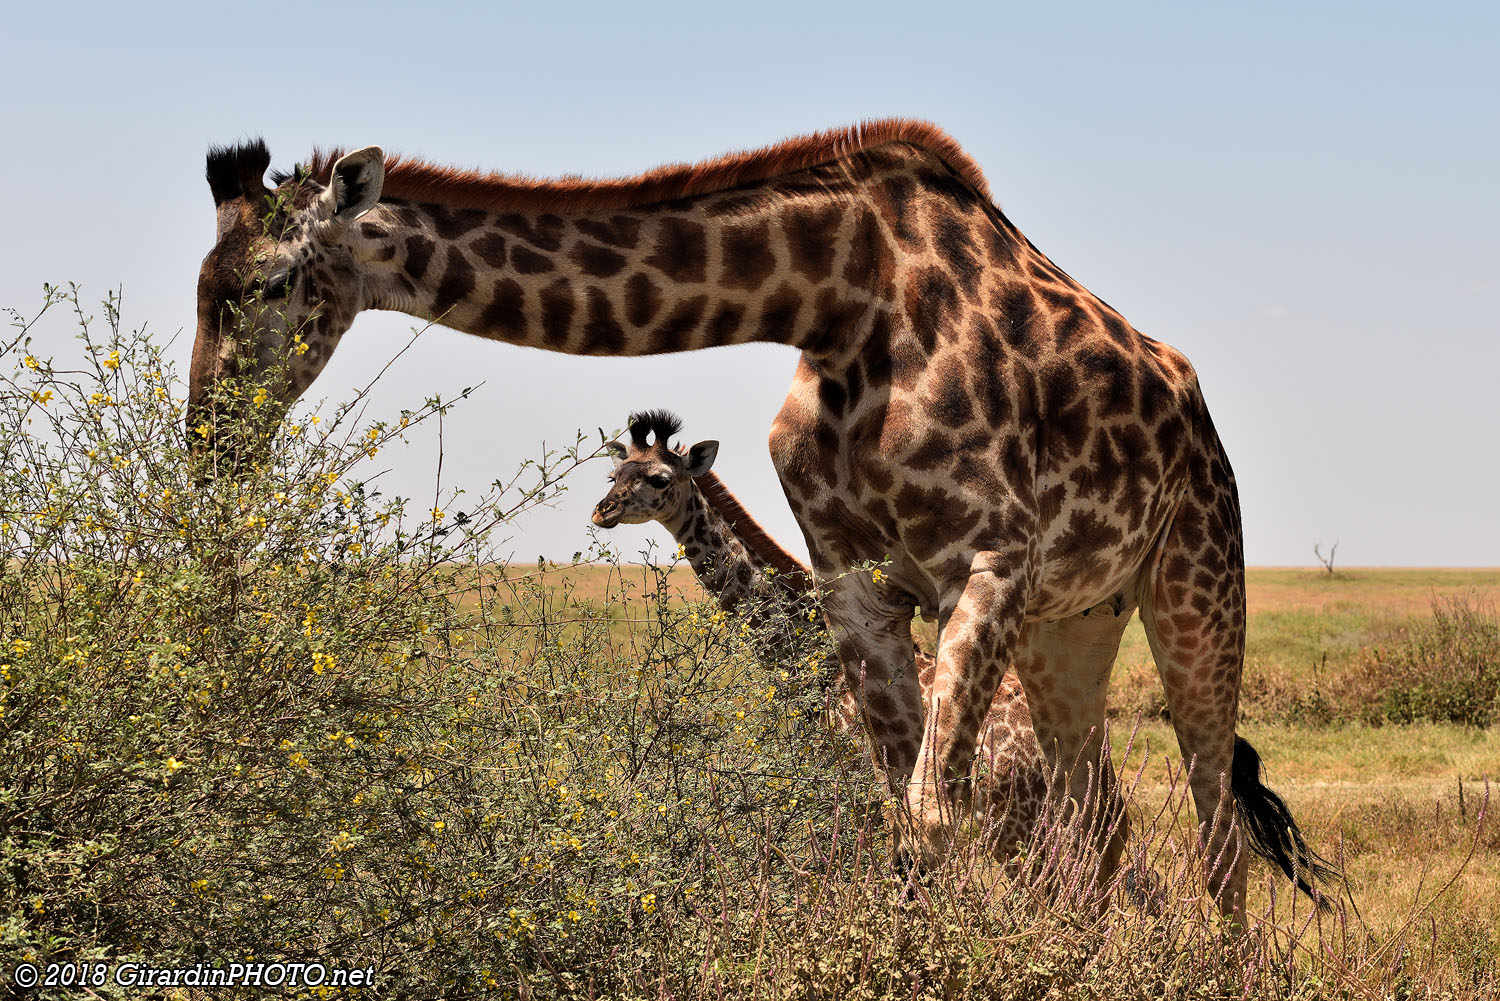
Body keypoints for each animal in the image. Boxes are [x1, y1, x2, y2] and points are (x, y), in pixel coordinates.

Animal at [589, 409, 1048, 857]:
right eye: (614, 475)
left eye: (660, 478)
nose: (602, 511)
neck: (812, 660)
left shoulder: (853, 783)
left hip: (1014, 832)